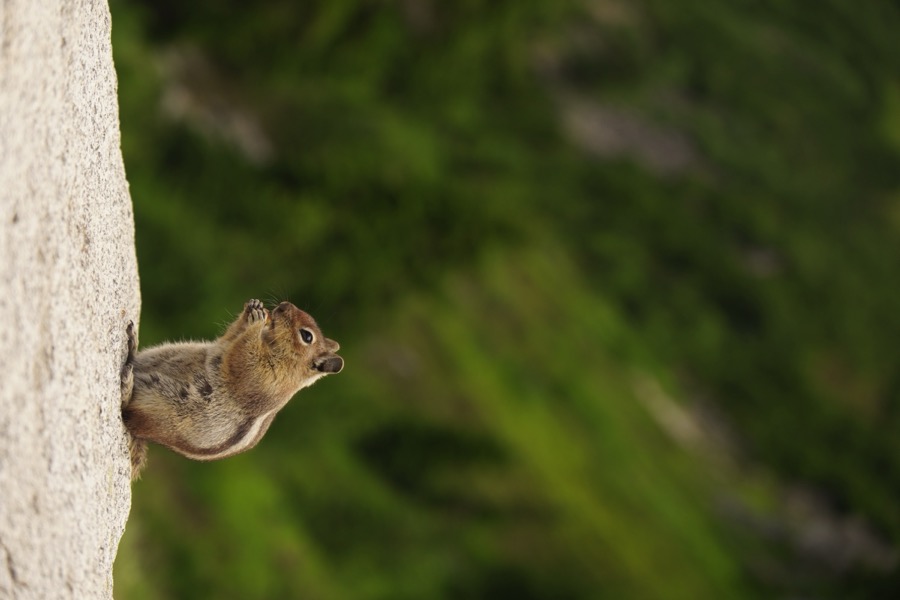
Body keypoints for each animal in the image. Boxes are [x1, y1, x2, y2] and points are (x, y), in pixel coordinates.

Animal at [120, 299, 343, 480]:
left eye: (307, 336)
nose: (283, 305)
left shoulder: (261, 375)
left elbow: (242, 353)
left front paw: (256, 321)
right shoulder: (226, 346)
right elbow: (228, 340)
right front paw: (253, 310)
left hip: (157, 399)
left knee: (127, 411)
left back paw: (126, 381)